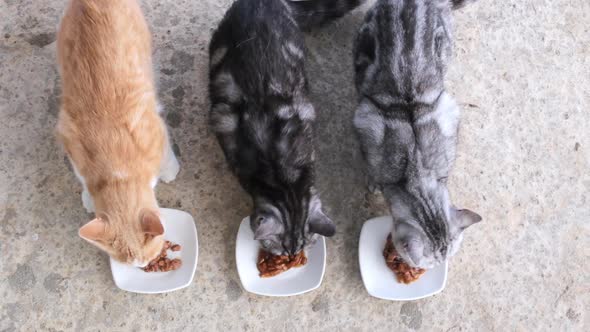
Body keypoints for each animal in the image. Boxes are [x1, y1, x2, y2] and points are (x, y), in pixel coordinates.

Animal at [57, 0, 180, 266]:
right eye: (128, 262)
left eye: (149, 256)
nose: (143, 266)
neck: (117, 171)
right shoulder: (71, 143)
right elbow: (81, 176)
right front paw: (88, 196)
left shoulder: (155, 129)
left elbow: (166, 155)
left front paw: (170, 171)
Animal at [210, 0, 364, 255]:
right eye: (281, 250)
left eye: (301, 248)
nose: (292, 256)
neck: (282, 179)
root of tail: (262, 2)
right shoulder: (223, 123)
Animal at [354, 0, 484, 270]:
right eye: (431, 263)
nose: (438, 265)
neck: (416, 173)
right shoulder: (365, 119)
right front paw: (373, 183)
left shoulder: (447, 111)